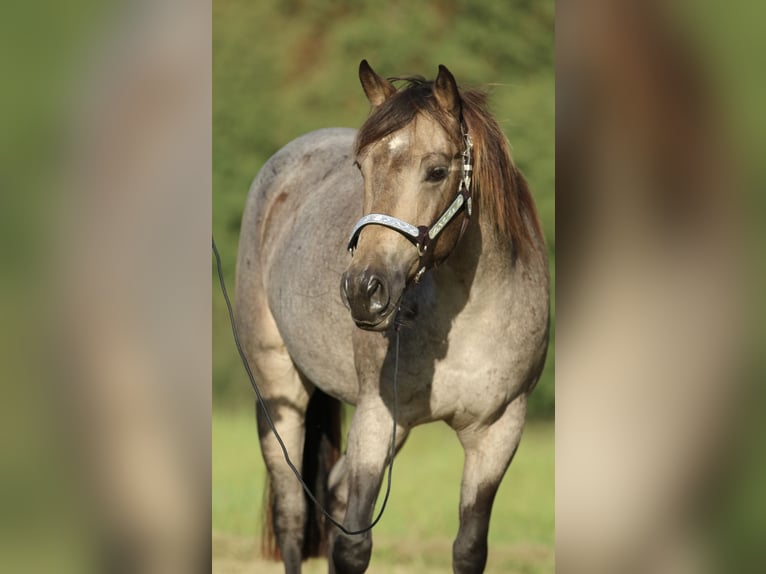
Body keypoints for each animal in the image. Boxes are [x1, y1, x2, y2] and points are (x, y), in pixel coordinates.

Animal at [235, 60, 549, 574]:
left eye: (437, 171)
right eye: (362, 166)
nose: (364, 291)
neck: (470, 317)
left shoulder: (498, 433)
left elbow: (469, 548)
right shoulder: (378, 418)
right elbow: (353, 546)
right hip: (279, 390)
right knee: (293, 515)